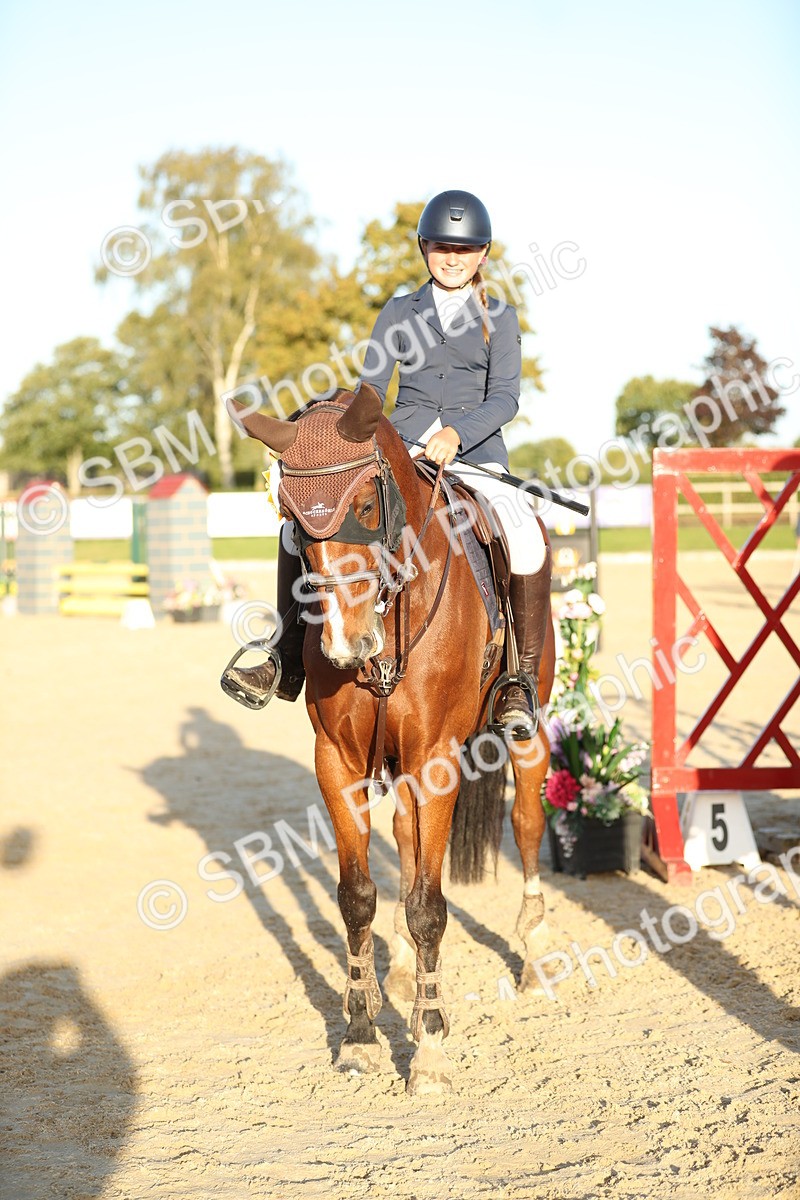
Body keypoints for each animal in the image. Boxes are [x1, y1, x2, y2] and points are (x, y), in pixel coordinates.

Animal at [230, 382, 555, 1095]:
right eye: (290, 516)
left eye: (366, 504)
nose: (346, 643)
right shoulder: (339, 761)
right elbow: (358, 898)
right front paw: (359, 1036)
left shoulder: (435, 759)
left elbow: (430, 903)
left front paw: (429, 1047)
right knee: (408, 840)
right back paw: (404, 972)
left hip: (528, 731)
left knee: (526, 822)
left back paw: (536, 957)